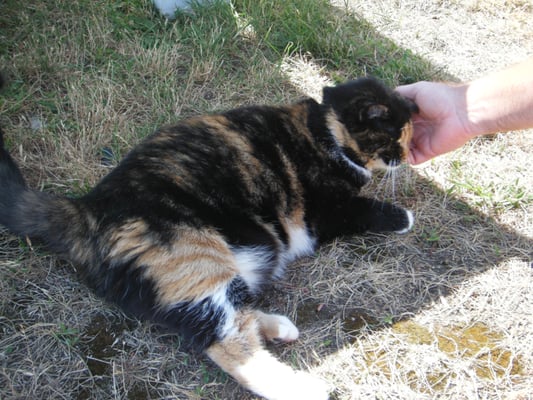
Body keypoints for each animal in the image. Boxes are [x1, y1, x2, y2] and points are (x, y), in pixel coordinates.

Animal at [0, 77, 416, 400]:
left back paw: (280, 328)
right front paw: (404, 216)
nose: (407, 155)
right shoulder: (324, 212)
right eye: (397, 136)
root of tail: (86, 208)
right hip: (198, 259)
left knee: (233, 314)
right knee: (228, 340)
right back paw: (301, 388)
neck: (324, 128)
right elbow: (364, 210)